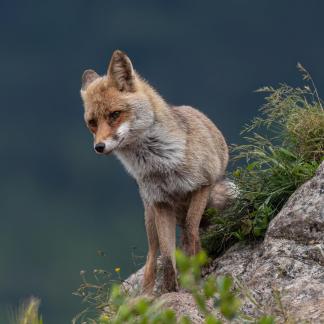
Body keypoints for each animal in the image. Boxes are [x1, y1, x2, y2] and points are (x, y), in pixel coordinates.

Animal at [81, 50, 232, 294]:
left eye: (114, 114)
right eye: (92, 123)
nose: (99, 147)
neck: (162, 164)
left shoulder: (202, 185)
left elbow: (191, 229)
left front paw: (202, 265)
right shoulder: (161, 203)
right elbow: (168, 257)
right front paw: (170, 290)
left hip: (225, 194)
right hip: (150, 216)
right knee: (152, 256)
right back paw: (146, 293)